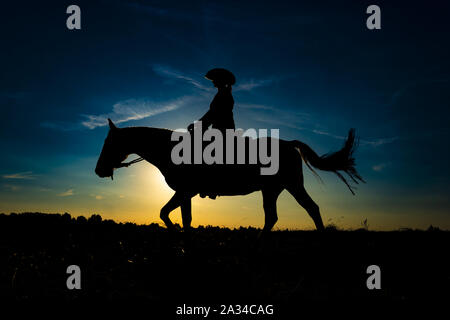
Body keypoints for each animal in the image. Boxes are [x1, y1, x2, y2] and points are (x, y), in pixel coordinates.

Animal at [96, 119, 366, 234]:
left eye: (109, 143)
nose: (99, 170)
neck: (170, 149)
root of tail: (289, 143)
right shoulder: (186, 193)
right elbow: (183, 218)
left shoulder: (184, 191)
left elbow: (167, 214)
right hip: (272, 190)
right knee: (273, 217)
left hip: (292, 185)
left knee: (311, 208)